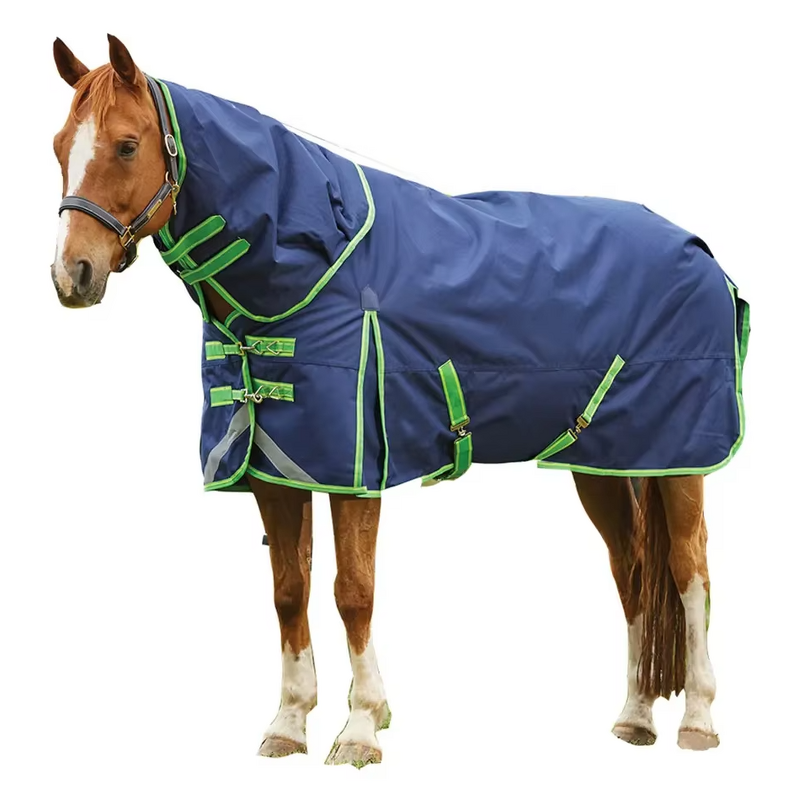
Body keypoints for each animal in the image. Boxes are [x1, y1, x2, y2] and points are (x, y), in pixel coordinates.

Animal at [50, 34, 748, 767]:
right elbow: (289, 591)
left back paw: (698, 720)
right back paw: (635, 716)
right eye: (59, 143)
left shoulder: (356, 468)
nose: (72, 274)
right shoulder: (277, 468)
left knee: (689, 572)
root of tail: (702, 253)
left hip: (680, 458)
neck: (307, 265)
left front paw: (361, 727)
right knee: (632, 573)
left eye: (127, 145)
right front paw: (289, 723)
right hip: (602, 463)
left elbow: (353, 592)